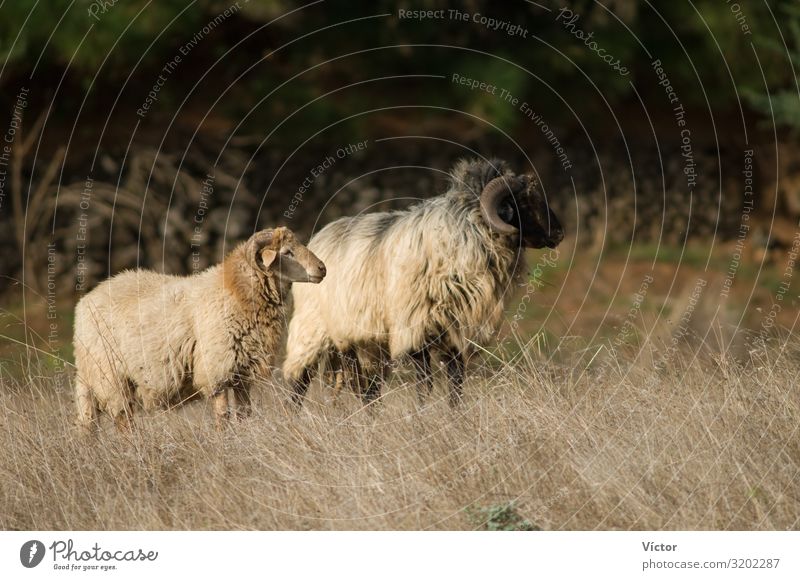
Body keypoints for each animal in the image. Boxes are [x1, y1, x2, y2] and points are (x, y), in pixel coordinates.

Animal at [73, 227, 324, 430]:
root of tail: (84, 303)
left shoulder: (241, 372)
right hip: (110, 377)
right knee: (123, 421)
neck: (235, 291)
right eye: (287, 252)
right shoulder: (216, 370)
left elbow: (244, 414)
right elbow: (223, 416)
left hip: (94, 380)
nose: (322, 269)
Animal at [284, 156, 564, 406]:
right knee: (299, 382)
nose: (559, 233)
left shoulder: (454, 329)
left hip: (364, 342)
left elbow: (455, 382)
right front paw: (422, 414)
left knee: (367, 390)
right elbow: (424, 383)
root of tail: (317, 238)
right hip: (312, 329)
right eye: (523, 202)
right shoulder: (414, 328)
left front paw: (455, 416)